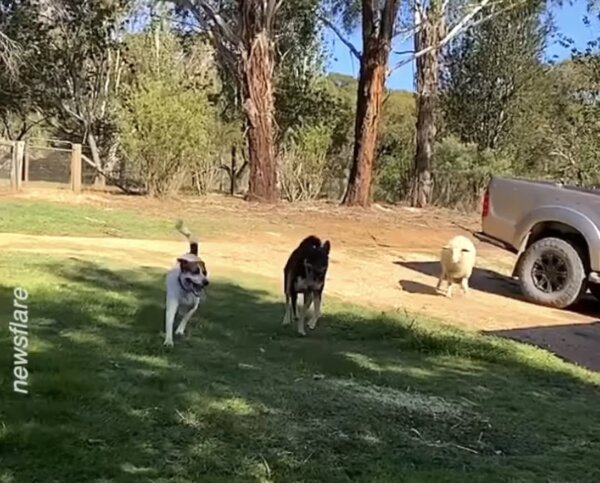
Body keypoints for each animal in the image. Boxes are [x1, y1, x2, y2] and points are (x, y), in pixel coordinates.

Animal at [164, 221, 211, 350]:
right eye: (195, 272)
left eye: (205, 273)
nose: (206, 282)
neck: (185, 290)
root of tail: (191, 254)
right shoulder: (172, 303)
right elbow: (169, 321)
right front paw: (168, 341)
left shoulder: (194, 305)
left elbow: (187, 316)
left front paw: (180, 330)